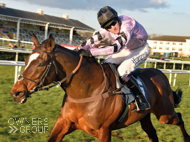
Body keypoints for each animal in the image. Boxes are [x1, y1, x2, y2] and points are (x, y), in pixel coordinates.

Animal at [10, 34, 190, 142]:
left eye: (41, 63)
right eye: (25, 60)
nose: (16, 93)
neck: (86, 92)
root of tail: (160, 74)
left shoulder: (104, 131)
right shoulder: (64, 122)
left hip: (165, 114)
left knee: (179, 117)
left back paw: (187, 137)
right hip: (144, 116)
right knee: (152, 133)